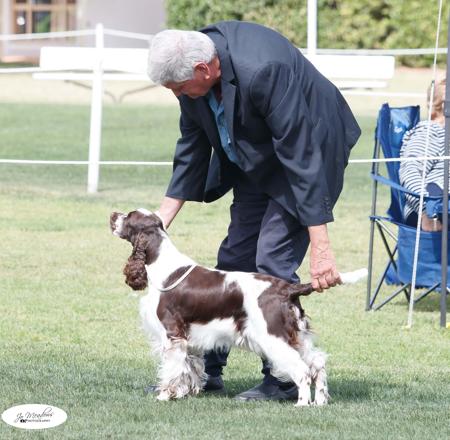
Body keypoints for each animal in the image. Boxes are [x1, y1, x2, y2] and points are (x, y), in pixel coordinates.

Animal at [110, 208, 366, 406]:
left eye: (129, 216)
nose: (112, 214)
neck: (163, 265)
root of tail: (287, 289)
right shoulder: (190, 339)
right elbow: (190, 368)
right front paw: (185, 393)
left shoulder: (171, 334)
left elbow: (172, 369)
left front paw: (165, 395)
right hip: (297, 336)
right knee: (318, 364)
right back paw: (320, 401)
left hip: (273, 338)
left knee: (302, 370)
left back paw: (302, 404)